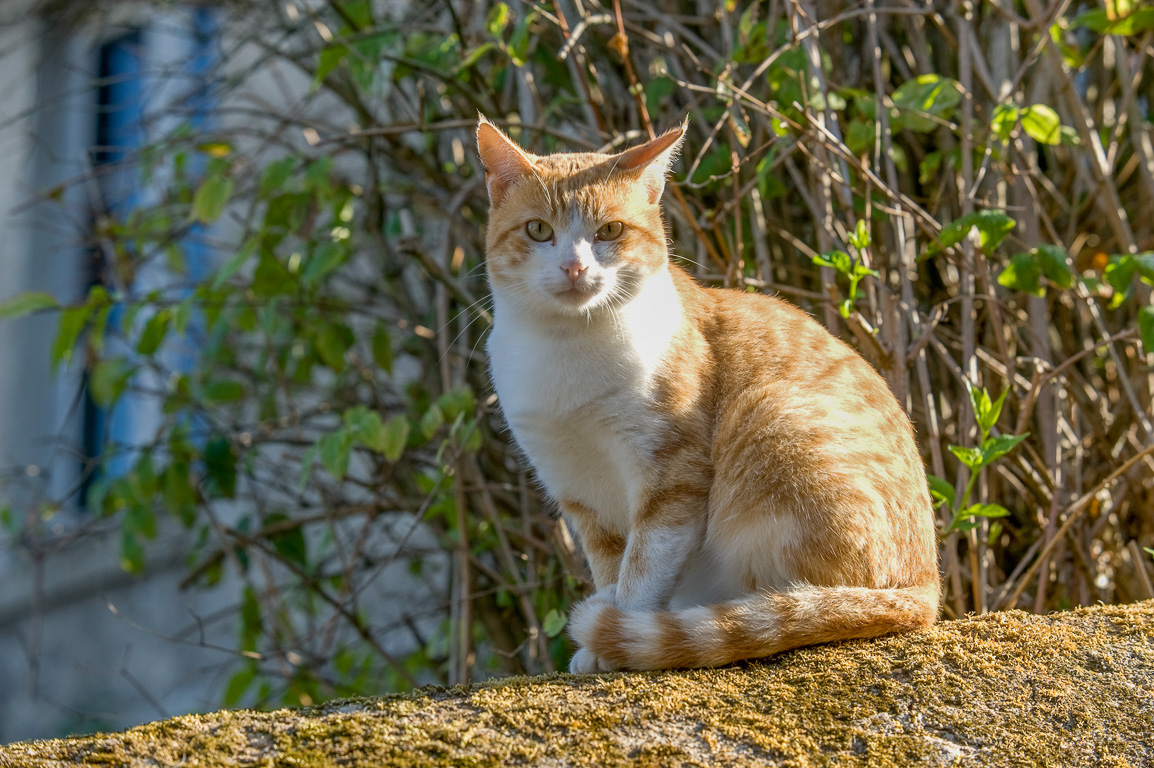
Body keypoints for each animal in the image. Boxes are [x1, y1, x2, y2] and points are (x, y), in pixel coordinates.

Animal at [475, 115, 937, 668]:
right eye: (538, 230)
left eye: (610, 231)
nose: (574, 268)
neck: (566, 347)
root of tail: (928, 584)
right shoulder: (579, 493)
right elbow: (611, 564)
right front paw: (604, 636)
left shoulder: (673, 477)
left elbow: (642, 569)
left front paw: (616, 635)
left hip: (770, 417)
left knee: (799, 602)